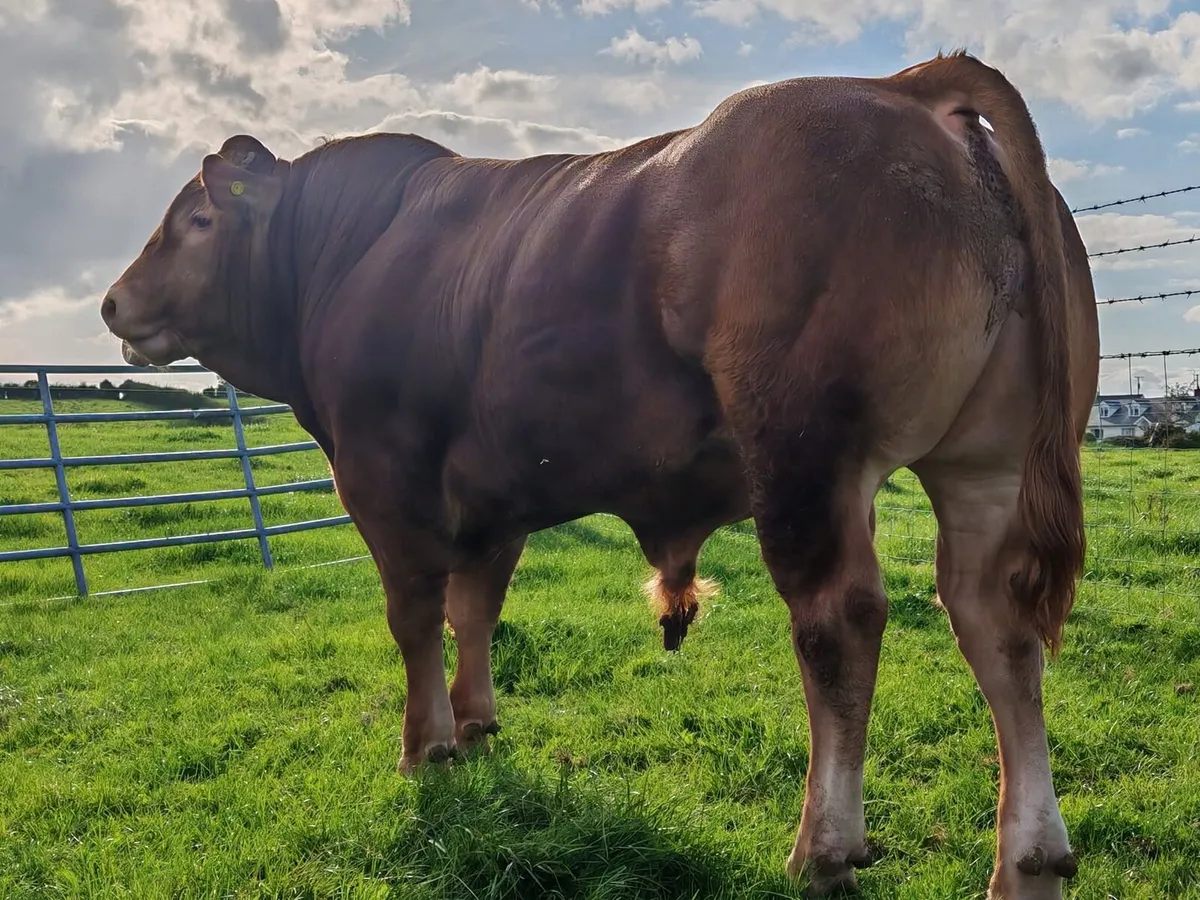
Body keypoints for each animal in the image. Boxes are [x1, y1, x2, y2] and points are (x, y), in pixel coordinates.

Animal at [99, 50, 1100, 899]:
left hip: (807, 454)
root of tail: (903, 88)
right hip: (985, 465)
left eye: (197, 220)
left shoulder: (385, 479)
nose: (111, 301)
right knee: (996, 624)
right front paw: (476, 725)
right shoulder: (490, 500)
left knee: (839, 620)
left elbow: (415, 617)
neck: (348, 254)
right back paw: (1029, 861)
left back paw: (824, 847)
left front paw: (425, 749)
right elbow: (475, 610)